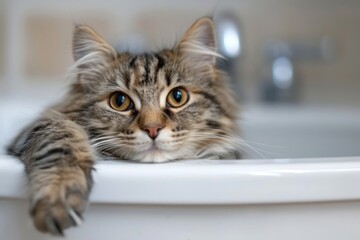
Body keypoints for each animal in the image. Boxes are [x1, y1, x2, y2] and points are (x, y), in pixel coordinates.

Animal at [6, 17, 239, 235]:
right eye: (120, 101)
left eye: (178, 97)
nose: (152, 129)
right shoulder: (40, 127)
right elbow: (61, 139)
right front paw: (58, 194)